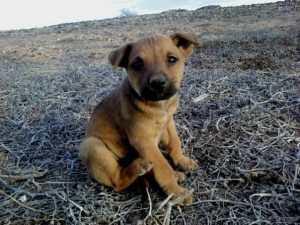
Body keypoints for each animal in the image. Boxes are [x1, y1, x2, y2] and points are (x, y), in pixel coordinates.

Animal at [80, 33, 199, 204]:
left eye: (172, 59)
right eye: (137, 64)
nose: (157, 83)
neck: (158, 106)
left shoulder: (169, 122)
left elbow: (175, 142)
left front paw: (181, 160)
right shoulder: (143, 141)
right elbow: (163, 167)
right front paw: (176, 192)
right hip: (91, 146)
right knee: (118, 181)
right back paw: (139, 166)